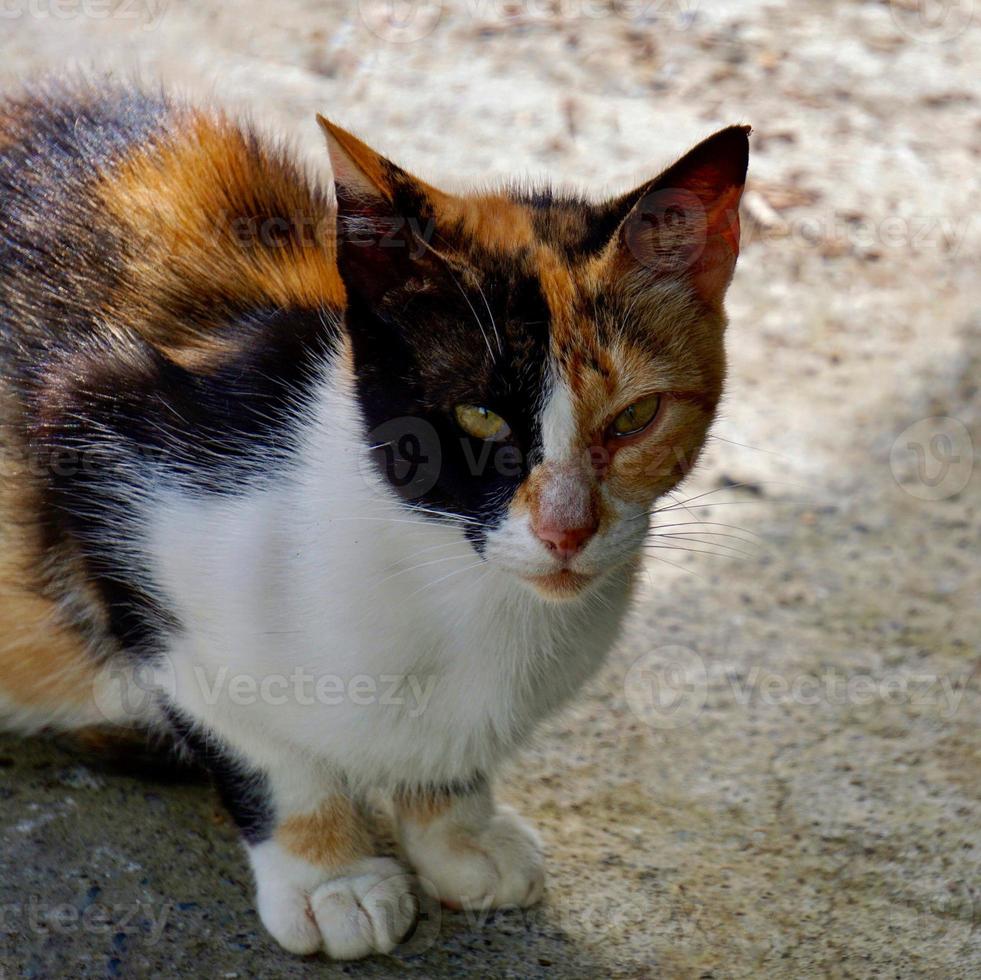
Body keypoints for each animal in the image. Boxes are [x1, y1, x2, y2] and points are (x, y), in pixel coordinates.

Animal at [0, 84, 748, 956]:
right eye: (478, 416)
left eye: (633, 417)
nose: (566, 530)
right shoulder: (103, 447)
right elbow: (253, 738)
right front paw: (331, 874)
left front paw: (457, 827)